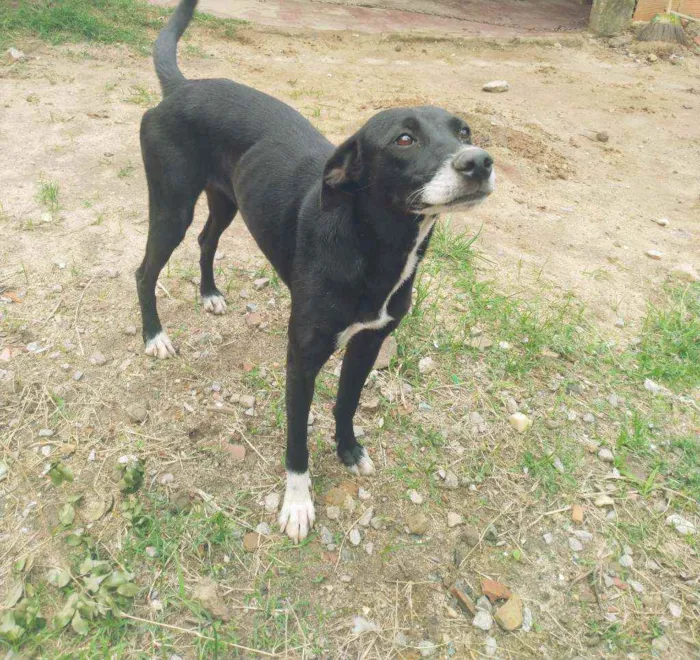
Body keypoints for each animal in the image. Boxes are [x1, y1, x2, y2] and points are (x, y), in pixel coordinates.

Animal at [137, 0, 494, 540]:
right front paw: (298, 502)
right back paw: (155, 336)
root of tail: (182, 87)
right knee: (145, 271)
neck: (375, 246)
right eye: (404, 139)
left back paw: (210, 294)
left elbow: (346, 401)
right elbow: (296, 438)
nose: (480, 161)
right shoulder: (301, 358)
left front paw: (348, 450)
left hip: (227, 201)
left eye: (464, 131)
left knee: (205, 240)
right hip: (171, 206)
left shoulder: (370, 342)